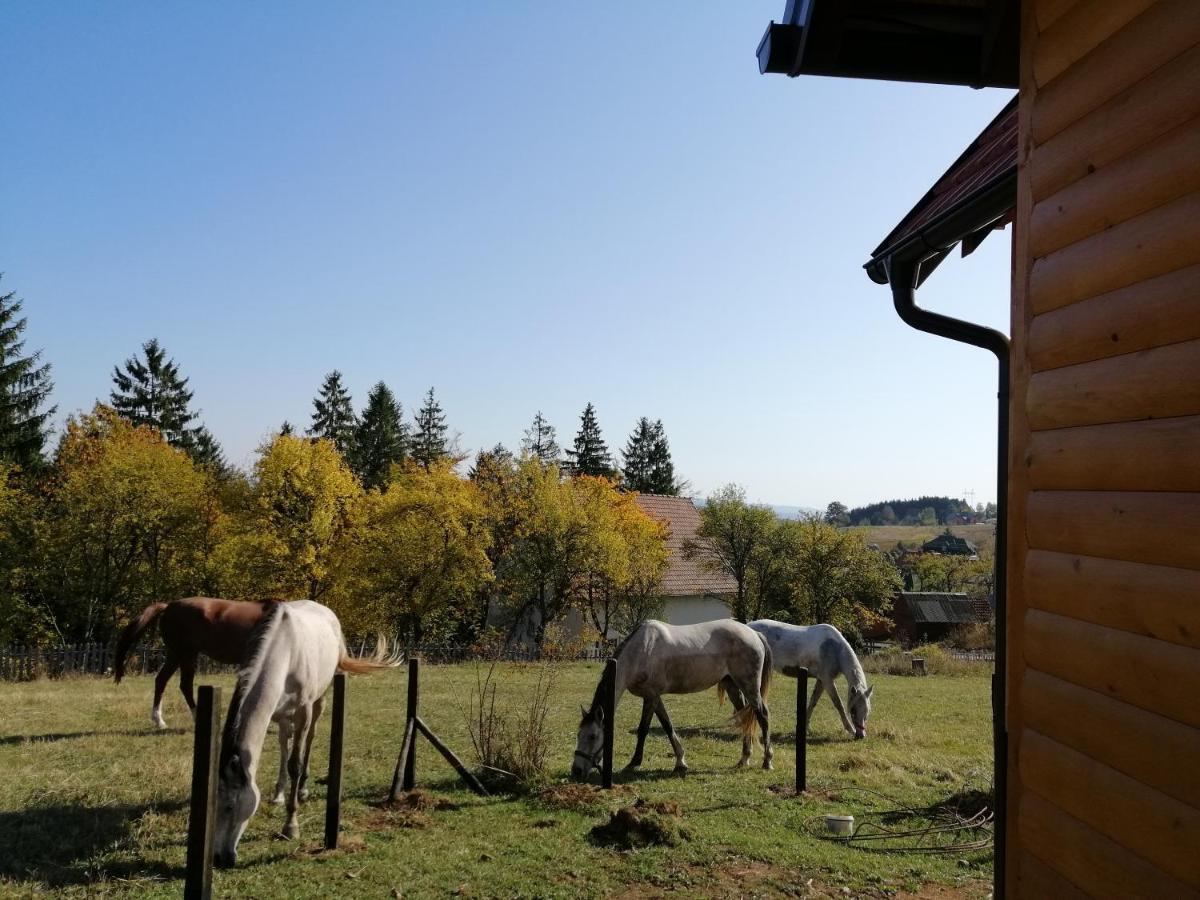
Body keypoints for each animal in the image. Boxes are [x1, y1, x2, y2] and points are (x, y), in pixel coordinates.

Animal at [113, 600, 271, 734]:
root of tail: (168, 607)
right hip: (186, 654)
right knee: (185, 685)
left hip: (176, 655)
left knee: (161, 680)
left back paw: (159, 721)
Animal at [568, 619, 772, 782]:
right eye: (578, 734)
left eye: (593, 736)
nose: (576, 770)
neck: (641, 651)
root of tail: (754, 634)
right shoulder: (654, 697)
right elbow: (667, 725)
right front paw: (680, 761)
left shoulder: (650, 696)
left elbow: (643, 730)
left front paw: (634, 762)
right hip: (732, 685)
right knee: (745, 718)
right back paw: (744, 759)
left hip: (749, 685)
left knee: (762, 715)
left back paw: (767, 761)